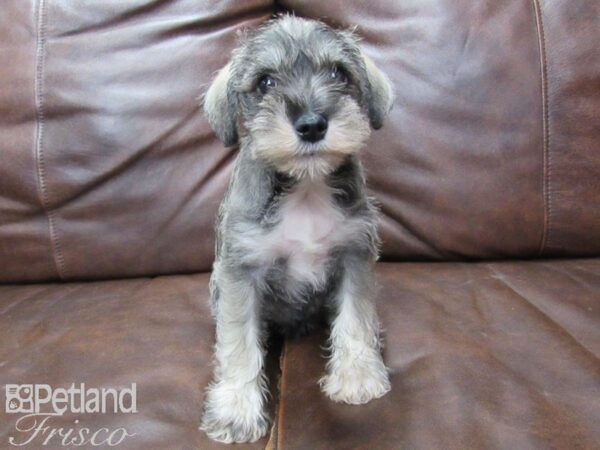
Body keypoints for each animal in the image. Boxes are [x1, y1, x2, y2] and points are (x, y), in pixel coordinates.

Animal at [199, 14, 394, 442]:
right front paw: (236, 411)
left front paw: (357, 377)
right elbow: (238, 344)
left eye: (339, 72)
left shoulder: (354, 256)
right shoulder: (240, 272)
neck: (306, 187)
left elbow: (354, 317)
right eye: (266, 82)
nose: (311, 124)